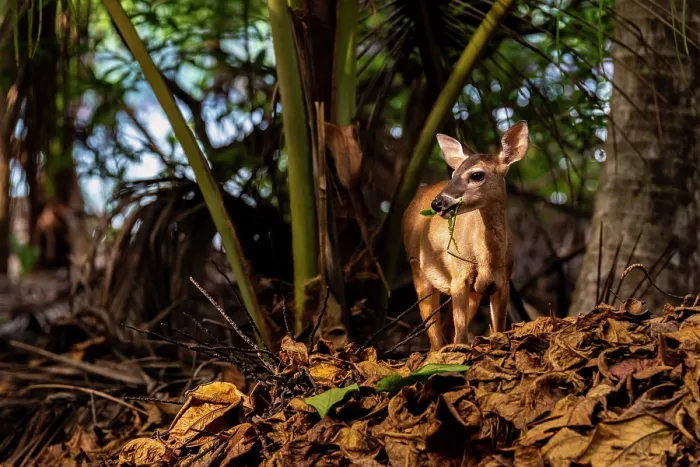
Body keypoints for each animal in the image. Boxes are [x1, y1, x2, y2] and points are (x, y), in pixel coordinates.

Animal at [402, 121, 529, 350]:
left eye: (476, 175)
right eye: (452, 175)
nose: (437, 203)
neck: (487, 259)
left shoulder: (502, 282)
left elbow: (499, 329)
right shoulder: (458, 277)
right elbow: (461, 336)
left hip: (473, 292)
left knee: (446, 331)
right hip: (418, 268)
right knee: (434, 334)